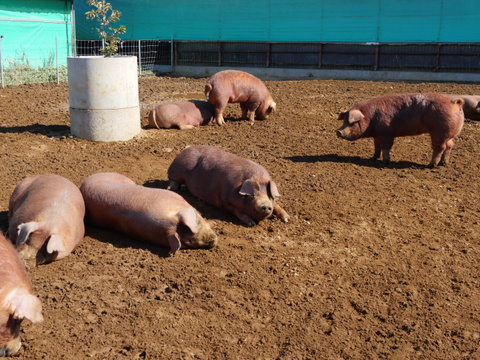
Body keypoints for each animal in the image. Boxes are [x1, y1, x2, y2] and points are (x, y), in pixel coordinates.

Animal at [334, 92, 464, 167]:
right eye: (344, 121)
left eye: (352, 122)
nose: (338, 131)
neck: (370, 117)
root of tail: (455, 102)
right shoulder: (377, 134)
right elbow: (377, 146)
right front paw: (373, 157)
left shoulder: (386, 133)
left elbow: (386, 147)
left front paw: (385, 161)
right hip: (449, 135)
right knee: (449, 146)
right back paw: (443, 163)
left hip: (439, 133)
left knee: (439, 148)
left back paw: (431, 165)